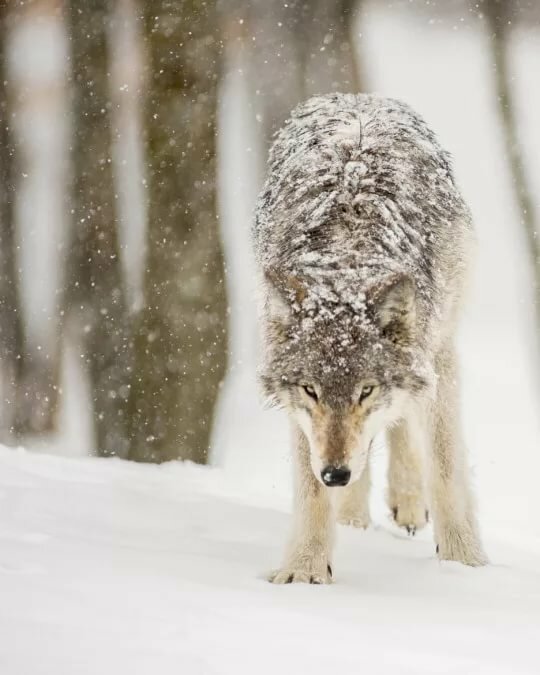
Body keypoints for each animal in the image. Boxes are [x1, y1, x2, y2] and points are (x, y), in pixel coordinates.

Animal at [253, 93, 487, 584]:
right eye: (311, 390)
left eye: (367, 390)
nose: (335, 474)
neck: (351, 249)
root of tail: (355, 97)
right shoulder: (304, 419)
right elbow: (311, 490)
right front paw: (304, 569)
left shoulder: (437, 355)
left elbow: (445, 467)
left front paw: (464, 563)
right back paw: (353, 517)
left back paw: (407, 501)